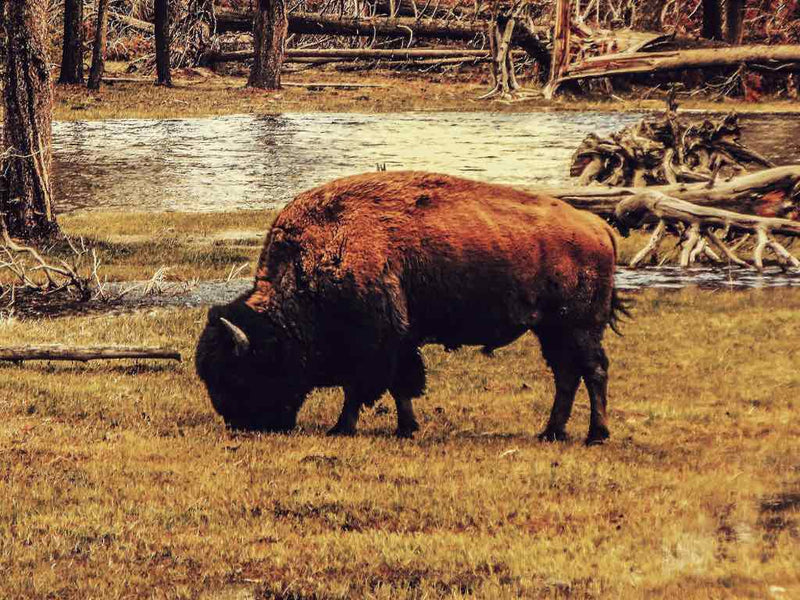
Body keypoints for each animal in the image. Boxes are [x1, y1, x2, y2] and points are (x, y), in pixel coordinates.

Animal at [195, 171, 629, 445]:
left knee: (593, 371)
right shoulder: (398, 342)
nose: (244, 424)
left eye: (238, 373)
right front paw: (406, 427)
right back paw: (551, 432)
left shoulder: (376, 344)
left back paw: (596, 435)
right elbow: (399, 387)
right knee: (567, 375)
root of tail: (597, 226)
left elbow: (364, 388)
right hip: (552, 329)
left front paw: (342, 428)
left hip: (578, 327)